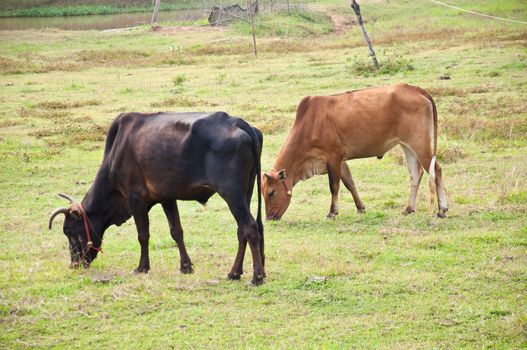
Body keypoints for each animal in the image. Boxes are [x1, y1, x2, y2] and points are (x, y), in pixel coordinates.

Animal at [48, 111, 266, 284]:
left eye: (69, 231)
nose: (74, 264)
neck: (116, 152)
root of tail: (237, 121)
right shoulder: (166, 197)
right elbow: (176, 232)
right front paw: (186, 266)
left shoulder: (135, 197)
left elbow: (143, 234)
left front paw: (142, 267)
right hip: (245, 193)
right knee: (242, 230)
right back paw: (235, 273)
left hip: (232, 193)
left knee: (249, 228)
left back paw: (257, 277)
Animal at [264, 83, 450, 220]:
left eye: (271, 192)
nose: (269, 218)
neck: (310, 124)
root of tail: (416, 89)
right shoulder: (341, 160)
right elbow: (349, 183)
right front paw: (360, 207)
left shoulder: (333, 157)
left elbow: (334, 186)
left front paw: (332, 212)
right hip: (407, 146)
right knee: (415, 174)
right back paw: (409, 208)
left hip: (421, 145)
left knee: (437, 170)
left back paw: (442, 209)